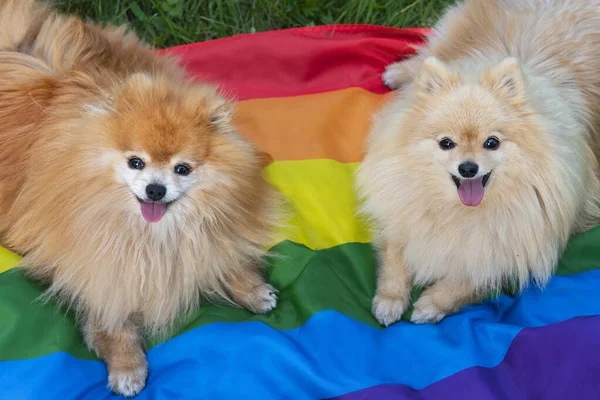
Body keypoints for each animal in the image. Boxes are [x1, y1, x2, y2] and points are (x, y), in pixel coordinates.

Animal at [0, 0, 282, 396]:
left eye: (182, 169)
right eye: (136, 162)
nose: (155, 189)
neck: (150, 236)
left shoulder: (204, 235)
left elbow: (222, 256)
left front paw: (253, 290)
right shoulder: (93, 265)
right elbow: (111, 321)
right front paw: (127, 367)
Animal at [356, 0, 600, 324]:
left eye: (491, 143)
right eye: (446, 143)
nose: (468, 168)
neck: (459, 213)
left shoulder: (514, 244)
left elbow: (470, 278)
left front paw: (431, 304)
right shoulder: (397, 208)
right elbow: (395, 255)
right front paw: (389, 299)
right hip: (453, 32)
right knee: (427, 53)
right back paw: (398, 74)